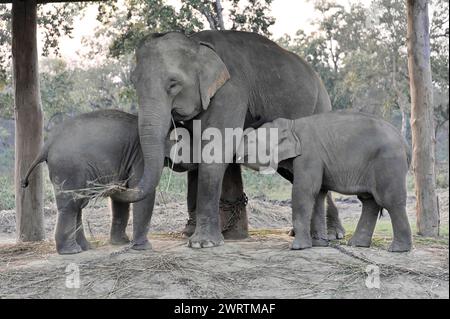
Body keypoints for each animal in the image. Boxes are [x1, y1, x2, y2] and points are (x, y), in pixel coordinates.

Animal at [115, 30, 344, 249]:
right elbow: (196, 154)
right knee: (293, 171)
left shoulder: (231, 90)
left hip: (320, 106)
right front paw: (192, 234)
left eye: (173, 84)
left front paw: (202, 243)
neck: (196, 42)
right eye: (134, 84)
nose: (115, 187)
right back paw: (302, 232)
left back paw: (333, 234)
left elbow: (214, 150)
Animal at [237, 110, 414, 252]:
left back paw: (398, 249)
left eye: (251, 141)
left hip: (388, 162)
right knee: (369, 201)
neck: (292, 125)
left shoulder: (309, 156)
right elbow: (318, 194)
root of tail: (406, 145)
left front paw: (298, 247)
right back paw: (356, 244)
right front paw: (318, 244)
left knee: (389, 200)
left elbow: (304, 191)